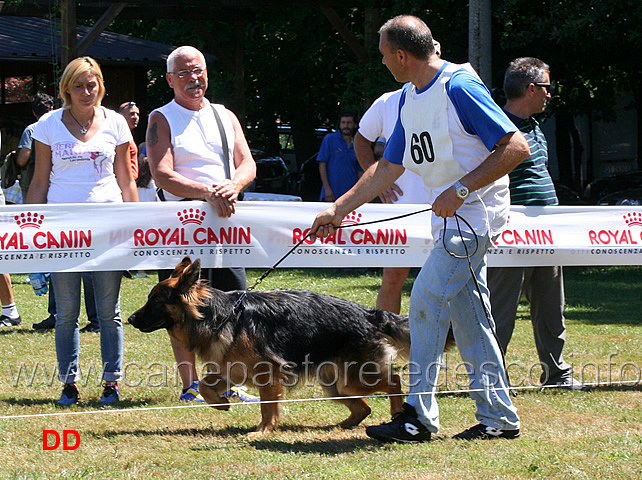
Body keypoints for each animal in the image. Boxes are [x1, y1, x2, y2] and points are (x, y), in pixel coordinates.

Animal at [130, 256, 416, 434]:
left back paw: (397, 413)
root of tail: (370, 313)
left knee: (394, 382)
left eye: (155, 301)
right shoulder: (231, 370)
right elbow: (204, 385)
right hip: (337, 385)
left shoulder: (267, 374)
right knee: (364, 406)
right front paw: (222, 404)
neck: (219, 316)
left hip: (353, 379)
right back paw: (344, 424)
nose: (131, 319)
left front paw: (262, 431)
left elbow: (268, 407)